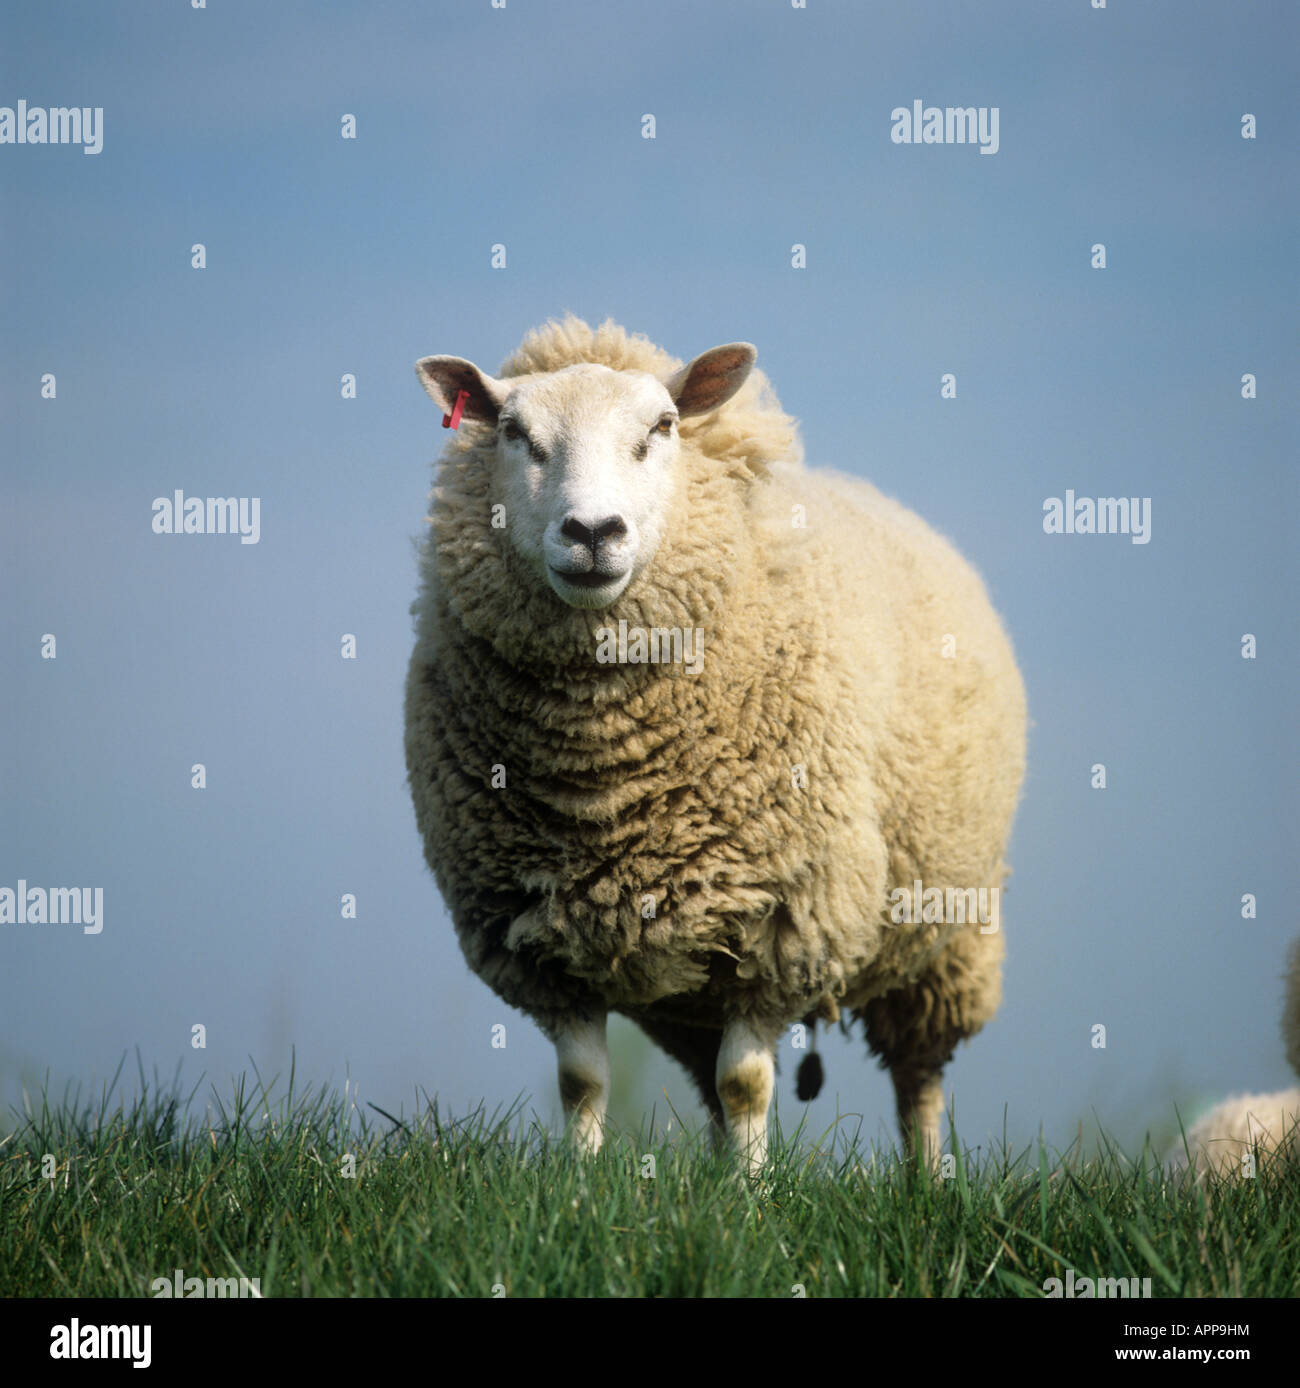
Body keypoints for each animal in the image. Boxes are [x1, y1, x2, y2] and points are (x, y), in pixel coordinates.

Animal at [405, 316, 1027, 1173]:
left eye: (663, 427)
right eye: (512, 432)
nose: (592, 532)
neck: (605, 780)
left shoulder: (785, 921)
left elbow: (747, 1084)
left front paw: (754, 1192)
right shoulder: (541, 942)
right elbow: (582, 1082)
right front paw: (581, 1185)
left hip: (948, 935)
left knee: (918, 1076)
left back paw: (926, 1180)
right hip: (685, 989)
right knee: (707, 1080)